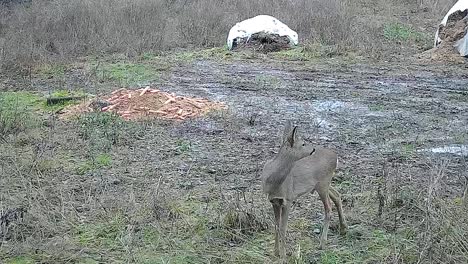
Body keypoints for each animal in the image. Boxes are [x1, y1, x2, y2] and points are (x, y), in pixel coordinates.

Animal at [260, 120, 348, 258]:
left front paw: (283, 256)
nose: (313, 149)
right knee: (337, 195)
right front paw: (275, 252)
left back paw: (322, 243)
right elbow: (276, 226)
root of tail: (336, 157)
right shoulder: (274, 201)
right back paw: (343, 228)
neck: (273, 182)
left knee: (328, 207)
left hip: (323, 183)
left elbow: (283, 228)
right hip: (324, 184)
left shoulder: (288, 198)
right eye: (303, 143)